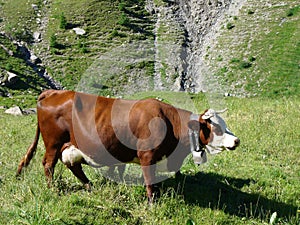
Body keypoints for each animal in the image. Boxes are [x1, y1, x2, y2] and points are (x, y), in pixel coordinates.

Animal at [16, 89, 240, 202]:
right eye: (216, 127)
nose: (236, 140)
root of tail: (54, 92)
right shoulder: (147, 156)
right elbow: (149, 182)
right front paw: (152, 202)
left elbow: (124, 171)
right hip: (53, 143)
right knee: (48, 164)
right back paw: (53, 189)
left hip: (68, 146)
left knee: (73, 165)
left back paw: (89, 186)